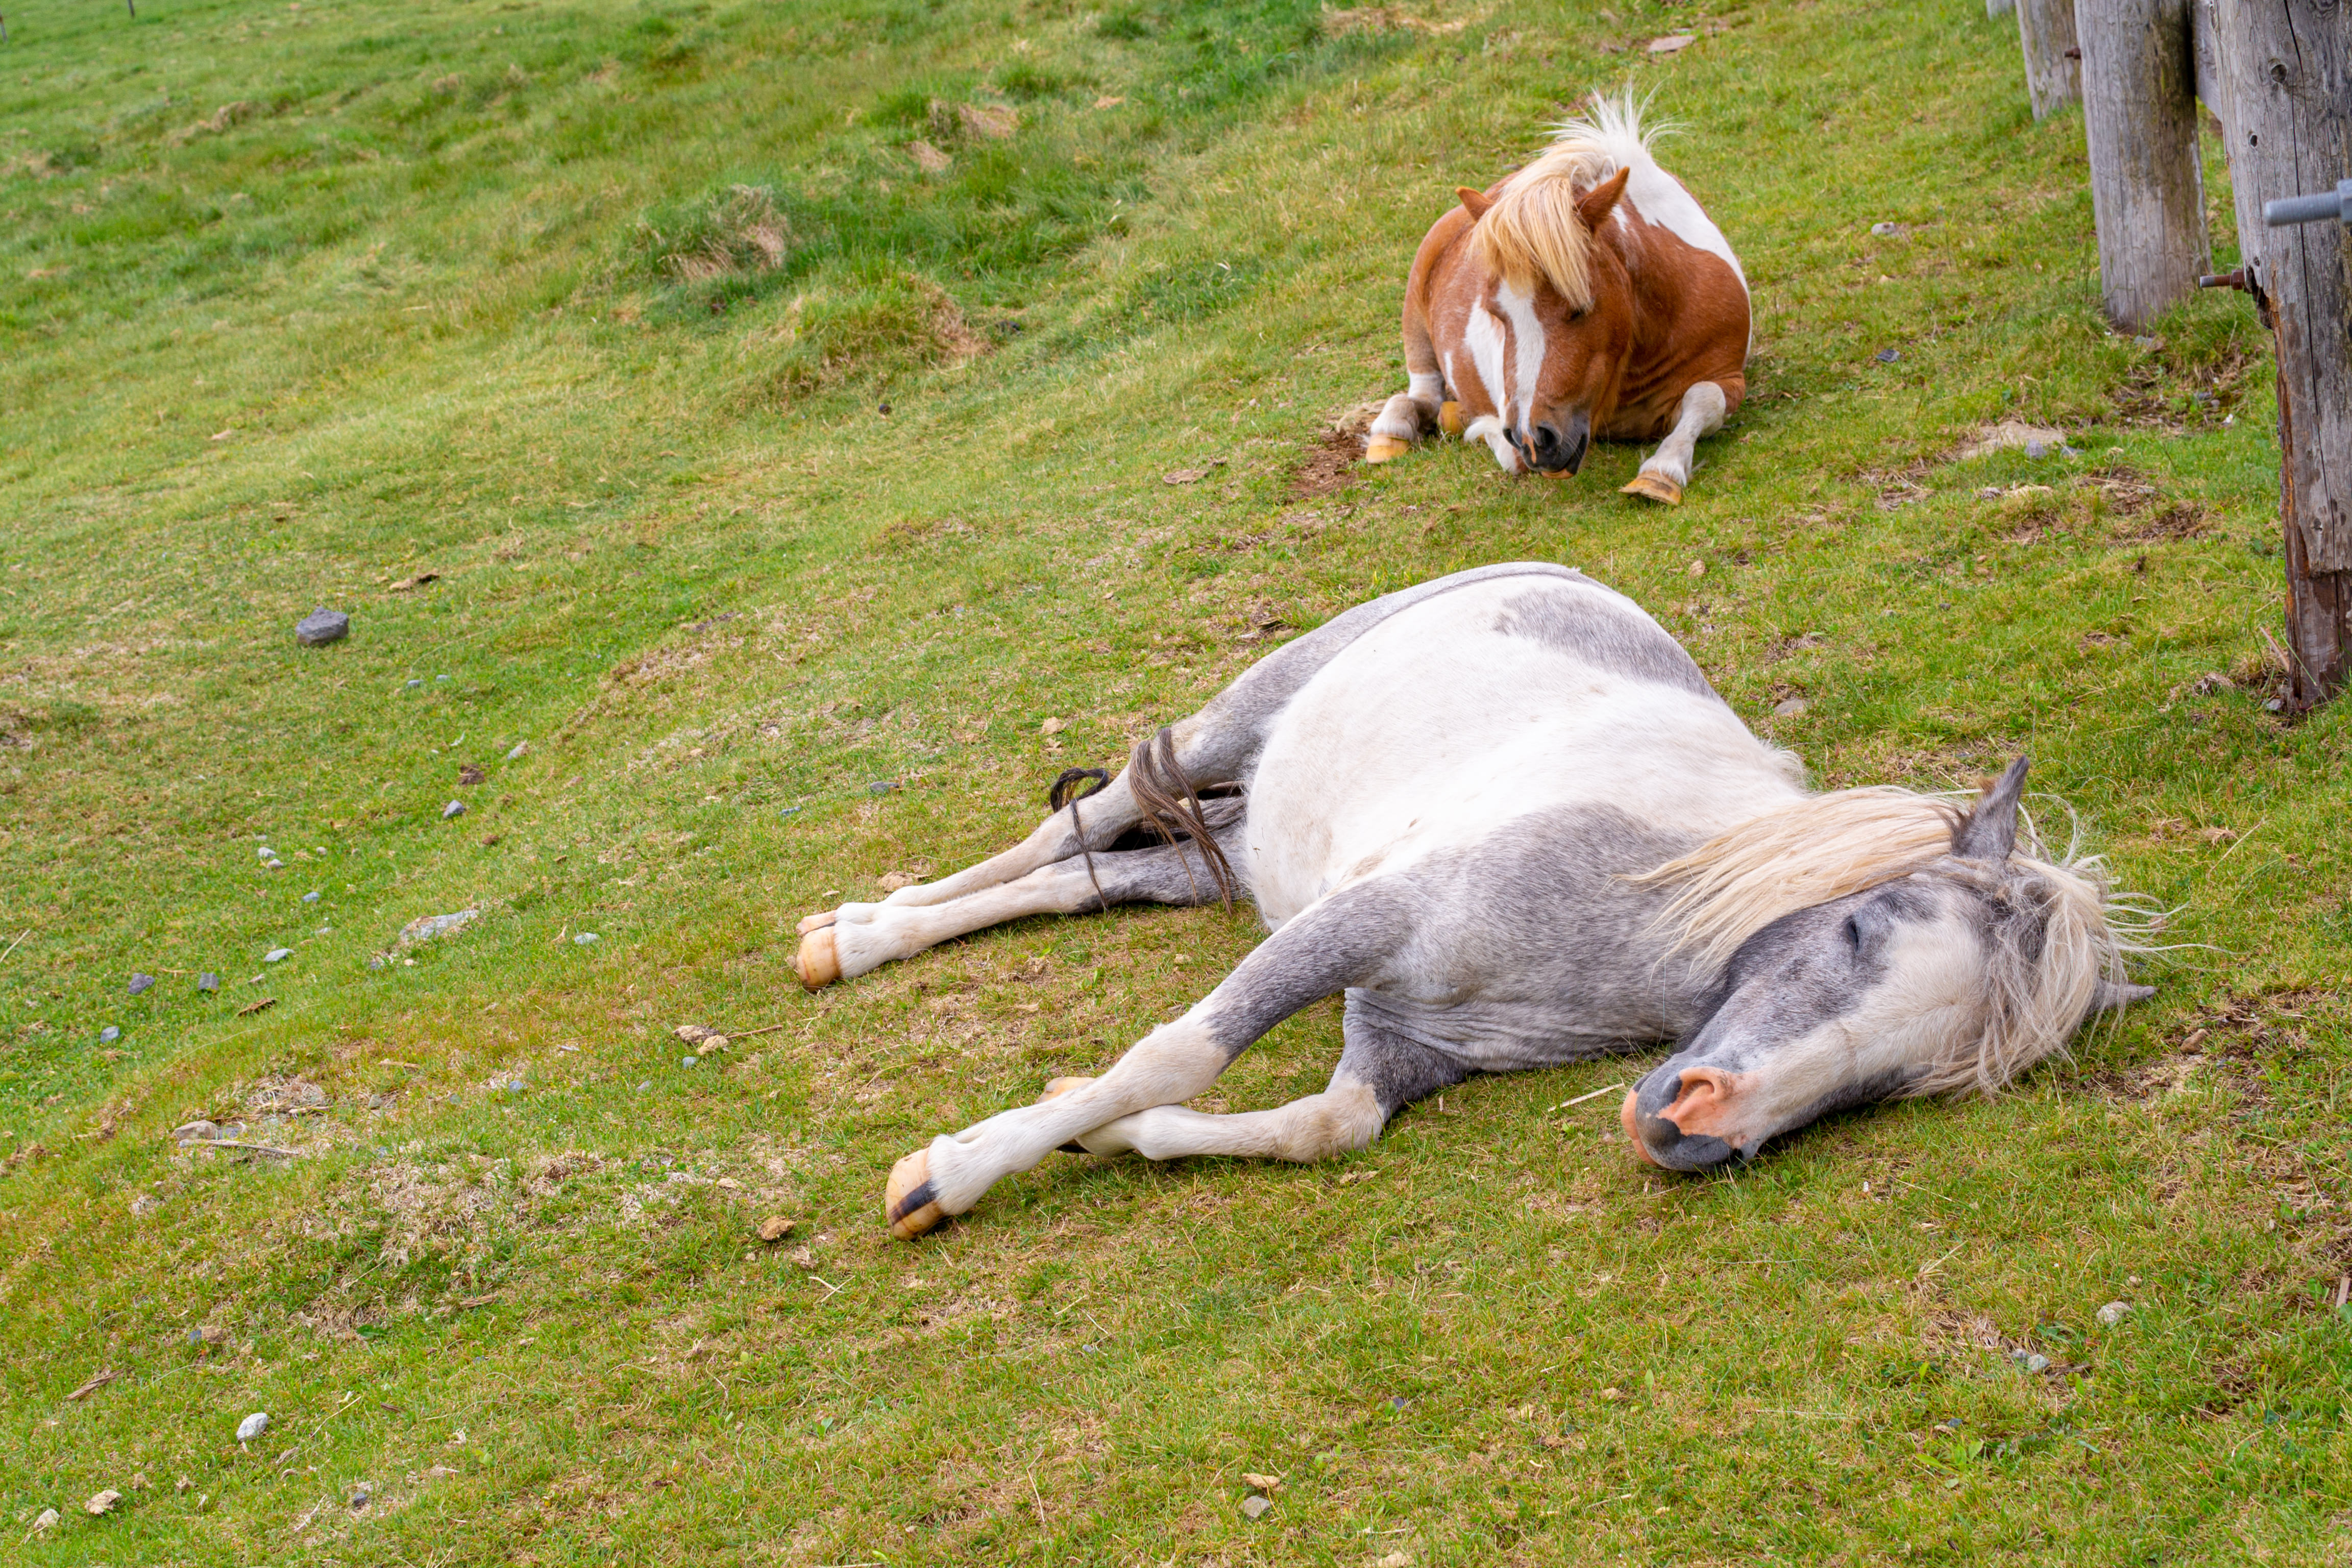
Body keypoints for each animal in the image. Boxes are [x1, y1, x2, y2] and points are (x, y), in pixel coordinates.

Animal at [790, 561, 2154, 1241]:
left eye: (1899, 1082)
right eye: (1857, 927)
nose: (1690, 1126)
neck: (1630, 915)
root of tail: (1550, 566)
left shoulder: (1396, 1042)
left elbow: (1318, 1127)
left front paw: (1096, 1131)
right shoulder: (1361, 927)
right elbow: (1180, 1052)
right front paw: (950, 1175)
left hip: (1237, 851)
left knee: (1096, 872)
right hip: (1226, 724)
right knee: (1074, 820)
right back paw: (860, 933)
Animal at [1364, 96, 1750, 503]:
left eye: (1580, 309)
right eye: (1496, 314)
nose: (1534, 440)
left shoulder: (1728, 375)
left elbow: (1704, 399)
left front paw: (1662, 472)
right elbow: (1507, 453)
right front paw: (1479, 426)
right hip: (1415, 325)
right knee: (1421, 395)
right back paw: (1394, 431)